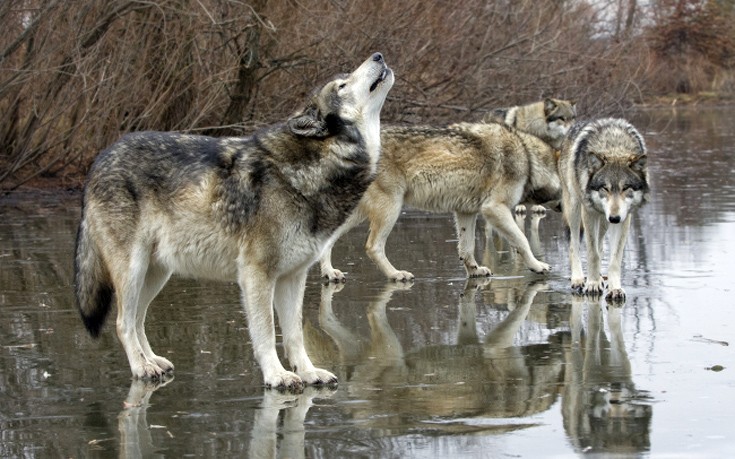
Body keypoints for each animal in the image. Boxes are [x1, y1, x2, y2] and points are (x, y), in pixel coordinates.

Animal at [74, 54, 394, 392]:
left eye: (347, 77)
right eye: (343, 85)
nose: (378, 56)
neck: (316, 166)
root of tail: (99, 159)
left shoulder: (293, 277)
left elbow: (294, 335)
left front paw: (308, 372)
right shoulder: (257, 275)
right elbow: (265, 333)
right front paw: (277, 375)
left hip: (157, 274)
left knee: (137, 320)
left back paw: (153, 362)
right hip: (133, 270)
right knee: (123, 323)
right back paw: (140, 368)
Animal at [320, 120, 560, 282]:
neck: (529, 159)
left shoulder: (466, 212)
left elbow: (467, 248)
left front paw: (474, 271)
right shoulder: (494, 209)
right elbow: (522, 240)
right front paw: (537, 266)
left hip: (357, 213)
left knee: (327, 240)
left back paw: (329, 273)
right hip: (390, 208)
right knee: (372, 247)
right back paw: (396, 274)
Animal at [556, 117, 648, 302]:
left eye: (626, 188)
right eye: (605, 188)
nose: (614, 218)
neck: (613, 147)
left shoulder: (624, 218)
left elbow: (614, 258)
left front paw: (615, 288)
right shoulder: (589, 212)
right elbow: (592, 254)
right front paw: (592, 284)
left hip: (603, 220)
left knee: (600, 246)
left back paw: (599, 278)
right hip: (575, 208)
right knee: (574, 245)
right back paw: (578, 279)